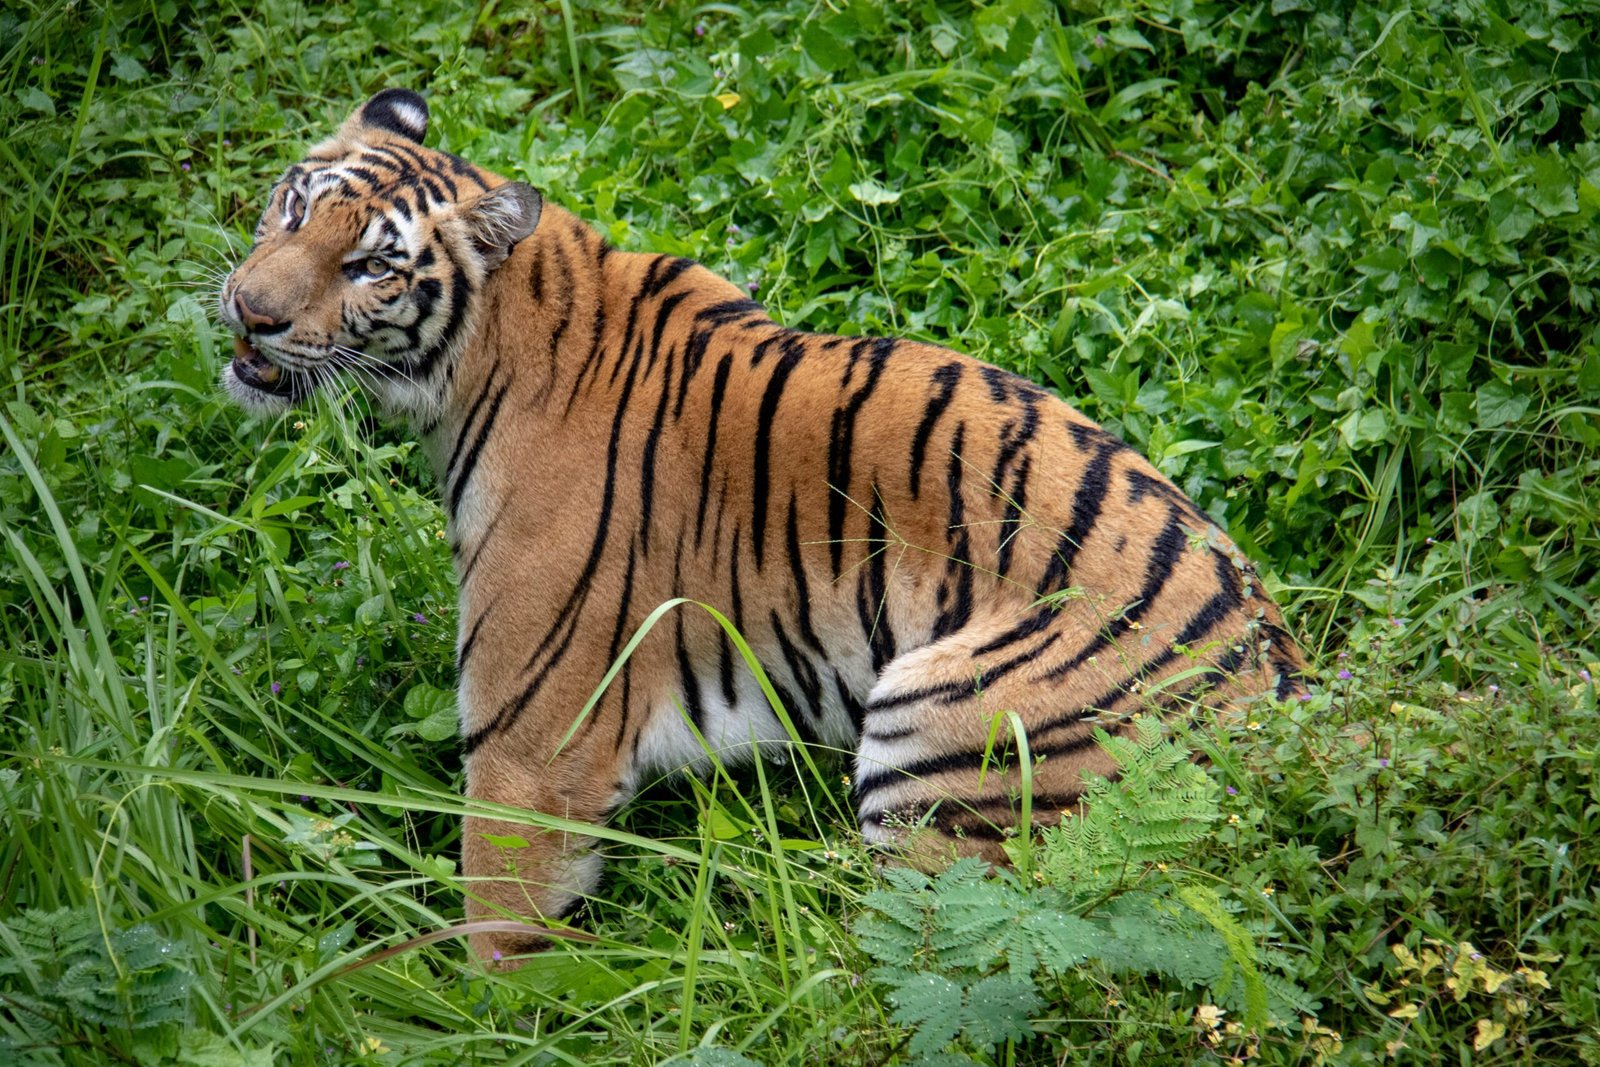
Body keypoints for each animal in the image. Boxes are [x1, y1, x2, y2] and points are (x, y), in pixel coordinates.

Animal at [219, 87, 1305, 966]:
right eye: (293, 207)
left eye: (370, 265)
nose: (249, 311)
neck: (477, 357)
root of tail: (1298, 715)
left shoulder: (528, 743)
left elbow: (497, 929)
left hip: (936, 724)